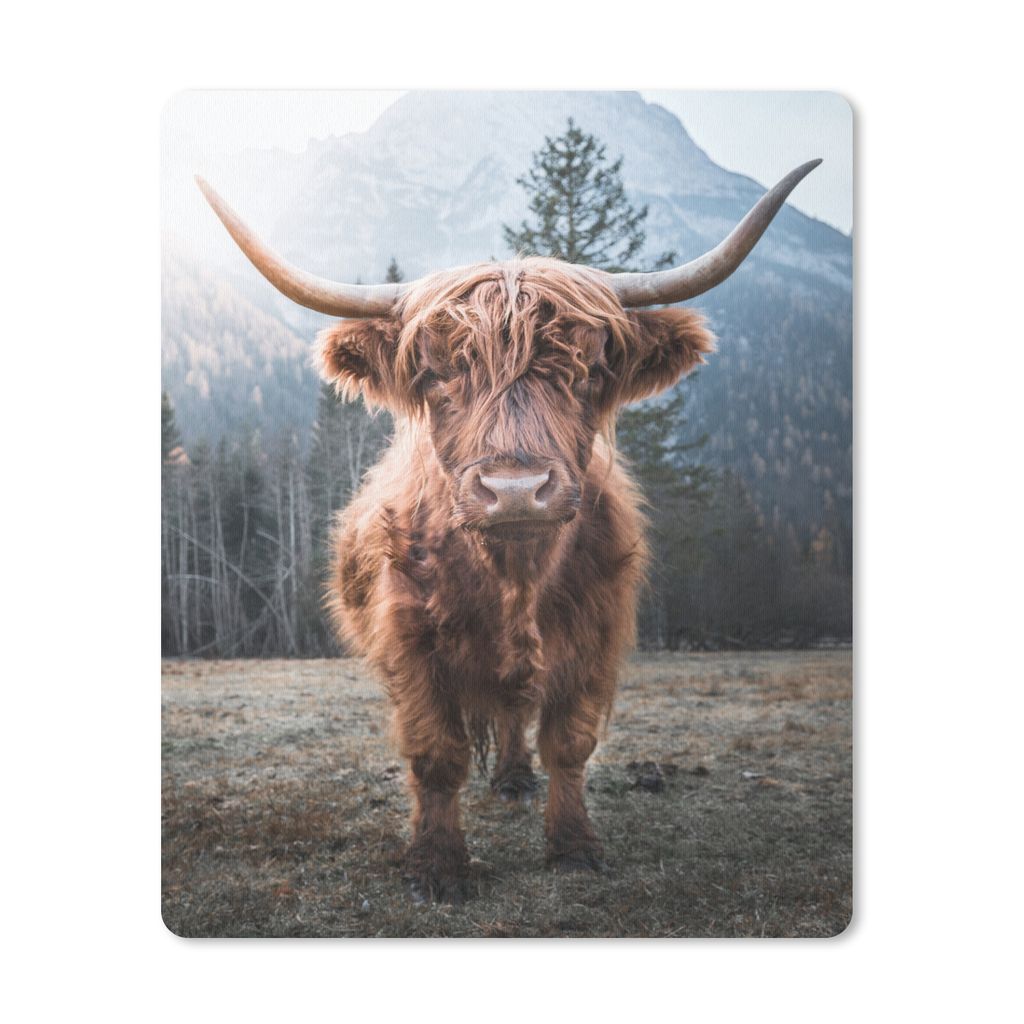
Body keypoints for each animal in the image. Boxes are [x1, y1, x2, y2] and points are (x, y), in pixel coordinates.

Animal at [197, 159, 819, 902]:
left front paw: (574, 845)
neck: (514, 578)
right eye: (435, 373)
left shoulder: (595, 636)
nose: (516, 490)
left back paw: (517, 778)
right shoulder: (410, 644)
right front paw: (436, 865)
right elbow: (436, 754)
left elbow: (569, 744)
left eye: (590, 370)